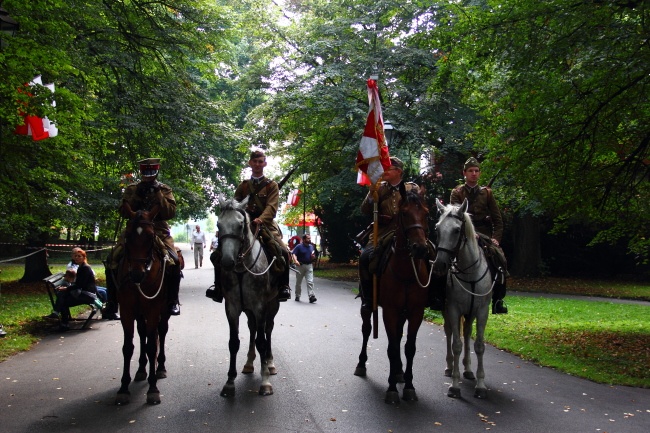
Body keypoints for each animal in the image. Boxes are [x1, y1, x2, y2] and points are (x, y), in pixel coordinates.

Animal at [114, 202, 182, 404]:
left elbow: (152, 346)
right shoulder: (127, 311)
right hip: (139, 313)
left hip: (163, 311)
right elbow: (128, 347)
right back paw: (141, 370)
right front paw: (123, 388)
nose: (136, 274)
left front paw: (153, 389)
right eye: (127, 235)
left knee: (161, 332)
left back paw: (160, 368)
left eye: (151, 236)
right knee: (143, 334)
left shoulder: (153, 310)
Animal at [216, 194, 280, 396]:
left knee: (268, 330)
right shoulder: (232, 308)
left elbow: (262, 341)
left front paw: (265, 381)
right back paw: (249, 363)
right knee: (252, 329)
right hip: (249, 310)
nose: (227, 261)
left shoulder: (260, 307)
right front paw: (229, 382)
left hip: (273, 305)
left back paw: (270, 363)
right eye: (219, 225)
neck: (241, 269)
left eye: (240, 225)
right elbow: (233, 342)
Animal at [352, 184, 432, 404]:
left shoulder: (415, 312)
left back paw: (398, 372)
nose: (420, 248)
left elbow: (409, 347)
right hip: (367, 304)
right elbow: (392, 347)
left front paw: (409, 385)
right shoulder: (389, 311)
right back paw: (361, 364)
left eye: (426, 213)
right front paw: (392, 389)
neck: (405, 271)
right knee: (366, 329)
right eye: (404, 213)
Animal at [430, 198, 492, 398]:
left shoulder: (482, 311)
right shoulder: (453, 310)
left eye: (457, 230)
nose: (440, 265)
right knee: (450, 332)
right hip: (447, 311)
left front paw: (480, 384)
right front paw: (455, 385)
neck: (470, 274)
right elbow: (456, 344)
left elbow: (479, 345)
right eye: (437, 229)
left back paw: (468, 370)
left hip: (470, 313)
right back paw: (450, 367)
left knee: (467, 332)